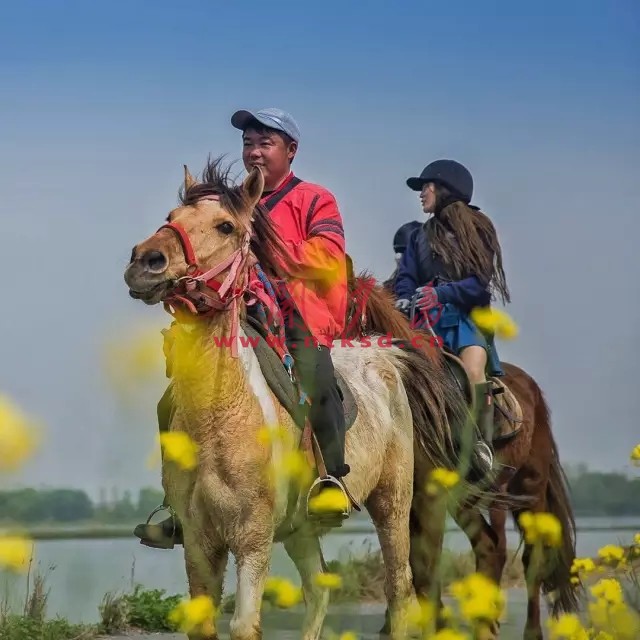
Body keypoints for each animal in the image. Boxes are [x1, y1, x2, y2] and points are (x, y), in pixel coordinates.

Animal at [342, 272, 576, 640]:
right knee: (490, 547)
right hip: (468, 497)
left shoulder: (430, 493)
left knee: (532, 559)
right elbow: (414, 562)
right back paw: (485, 621)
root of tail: (532, 390)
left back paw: (528, 629)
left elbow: (425, 564)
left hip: (529, 489)